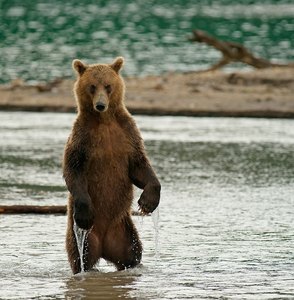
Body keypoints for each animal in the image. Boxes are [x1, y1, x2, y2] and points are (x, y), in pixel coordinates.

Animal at [62, 56, 161, 274]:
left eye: (108, 86)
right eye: (92, 86)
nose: (100, 105)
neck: (104, 121)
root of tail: (105, 244)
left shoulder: (127, 134)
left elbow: (139, 165)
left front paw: (148, 201)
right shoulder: (82, 139)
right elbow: (73, 169)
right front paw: (85, 212)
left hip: (123, 230)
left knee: (133, 251)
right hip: (83, 234)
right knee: (80, 255)